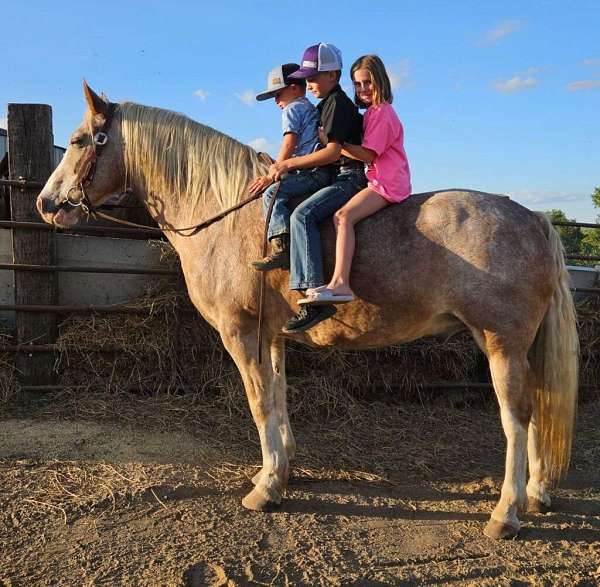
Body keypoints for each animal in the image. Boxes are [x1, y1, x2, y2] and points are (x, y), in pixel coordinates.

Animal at [36, 84, 576, 544]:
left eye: (80, 140)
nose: (46, 204)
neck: (229, 216)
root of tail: (533, 218)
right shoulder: (271, 337)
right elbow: (278, 396)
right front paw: (280, 469)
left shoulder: (242, 335)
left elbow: (260, 404)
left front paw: (266, 487)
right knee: (535, 408)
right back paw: (535, 493)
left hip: (501, 344)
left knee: (516, 416)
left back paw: (506, 512)